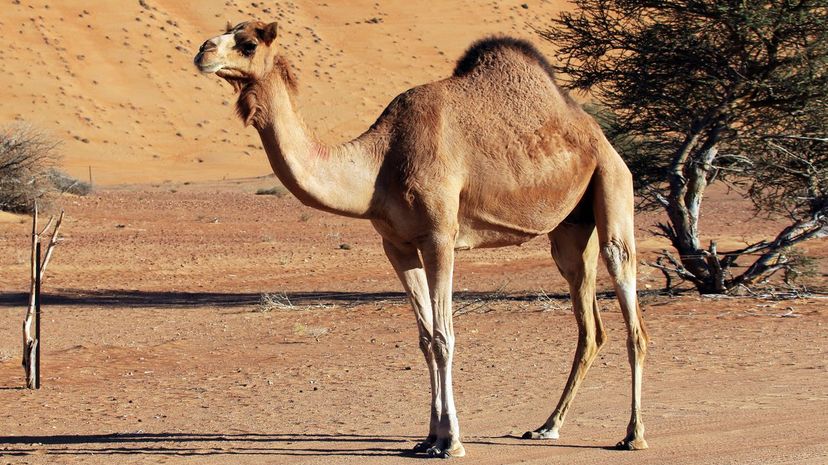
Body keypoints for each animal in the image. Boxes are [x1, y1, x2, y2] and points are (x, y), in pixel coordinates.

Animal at [194, 21, 649, 458]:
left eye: (248, 43)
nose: (203, 51)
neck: (380, 163)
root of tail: (598, 134)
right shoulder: (397, 246)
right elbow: (426, 339)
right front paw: (428, 438)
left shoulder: (439, 237)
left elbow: (445, 337)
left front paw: (452, 442)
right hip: (569, 230)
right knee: (588, 324)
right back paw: (547, 426)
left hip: (612, 183)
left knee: (628, 301)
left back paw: (633, 435)